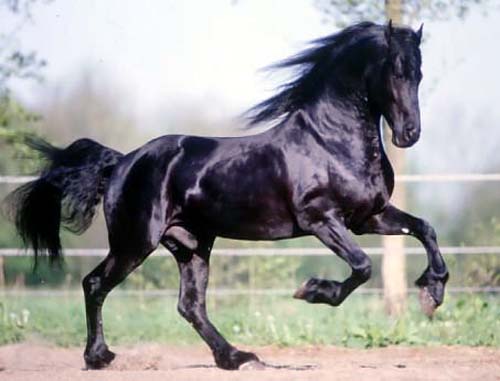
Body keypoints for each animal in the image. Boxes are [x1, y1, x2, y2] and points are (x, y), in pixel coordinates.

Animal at [5, 22, 448, 370]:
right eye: (396, 70)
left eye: (420, 72)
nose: (409, 134)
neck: (330, 142)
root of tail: (122, 162)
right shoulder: (321, 219)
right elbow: (362, 266)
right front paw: (312, 292)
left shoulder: (368, 217)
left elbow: (425, 229)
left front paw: (432, 293)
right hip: (136, 241)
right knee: (95, 284)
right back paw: (99, 357)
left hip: (192, 244)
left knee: (189, 305)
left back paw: (236, 358)